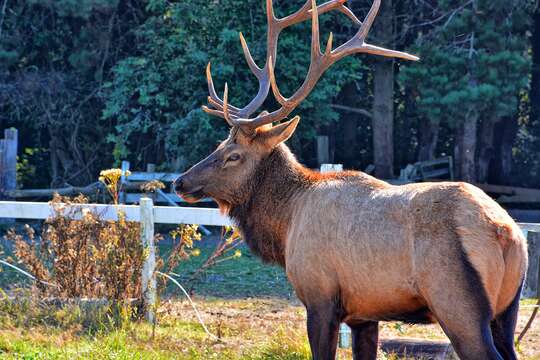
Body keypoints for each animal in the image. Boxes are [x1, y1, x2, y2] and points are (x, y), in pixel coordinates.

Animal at [173, 1, 528, 358]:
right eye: (219, 145)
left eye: (233, 155)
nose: (180, 182)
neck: (286, 223)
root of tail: (504, 231)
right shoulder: (364, 314)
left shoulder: (320, 298)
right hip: (505, 311)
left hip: (457, 302)